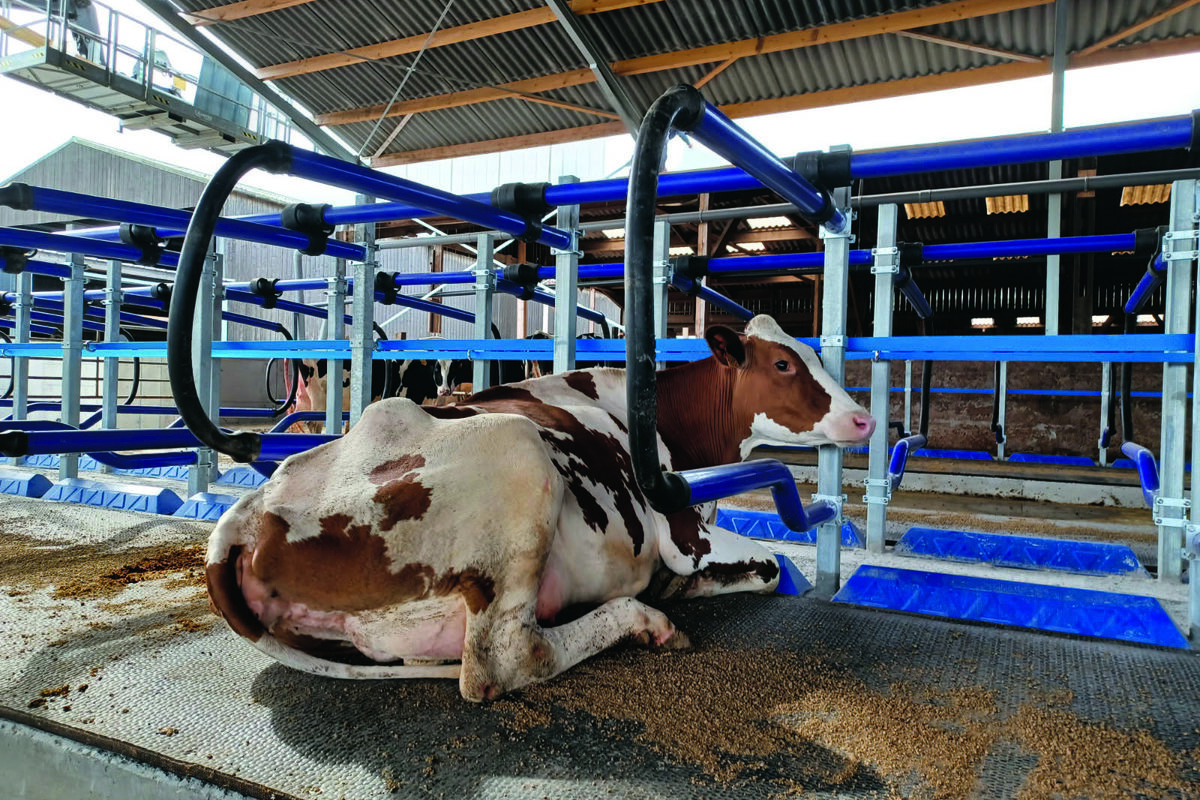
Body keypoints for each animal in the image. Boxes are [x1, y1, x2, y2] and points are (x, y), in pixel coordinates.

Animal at [206, 315, 874, 702]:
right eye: (783, 364)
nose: (864, 419)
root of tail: (247, 517)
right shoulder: (685, 537)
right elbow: (772, 567)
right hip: (520, 453)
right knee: (505, 661)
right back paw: (642, 621)